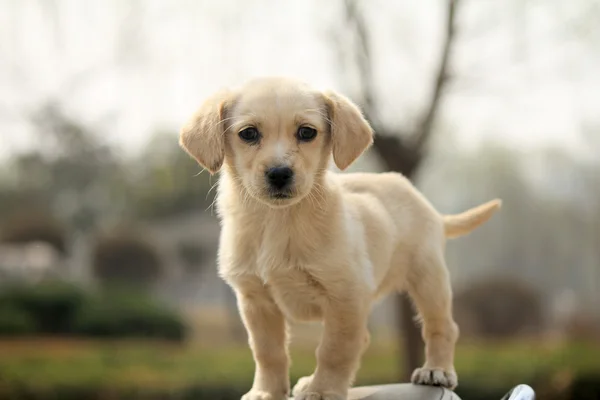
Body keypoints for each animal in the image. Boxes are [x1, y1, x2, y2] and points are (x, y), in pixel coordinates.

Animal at [179, 76, 502, 398]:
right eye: (248, 133)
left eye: (307, 132)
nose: (279, 173)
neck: (278, 222)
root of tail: (429, 208)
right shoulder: (256, 300)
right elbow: (268, 352)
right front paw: (267, 392)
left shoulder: (345, 295)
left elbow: (333, 350)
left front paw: (323, 390)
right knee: (365, 338)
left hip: (428, 278)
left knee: (441, 326)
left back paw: (436, 370)